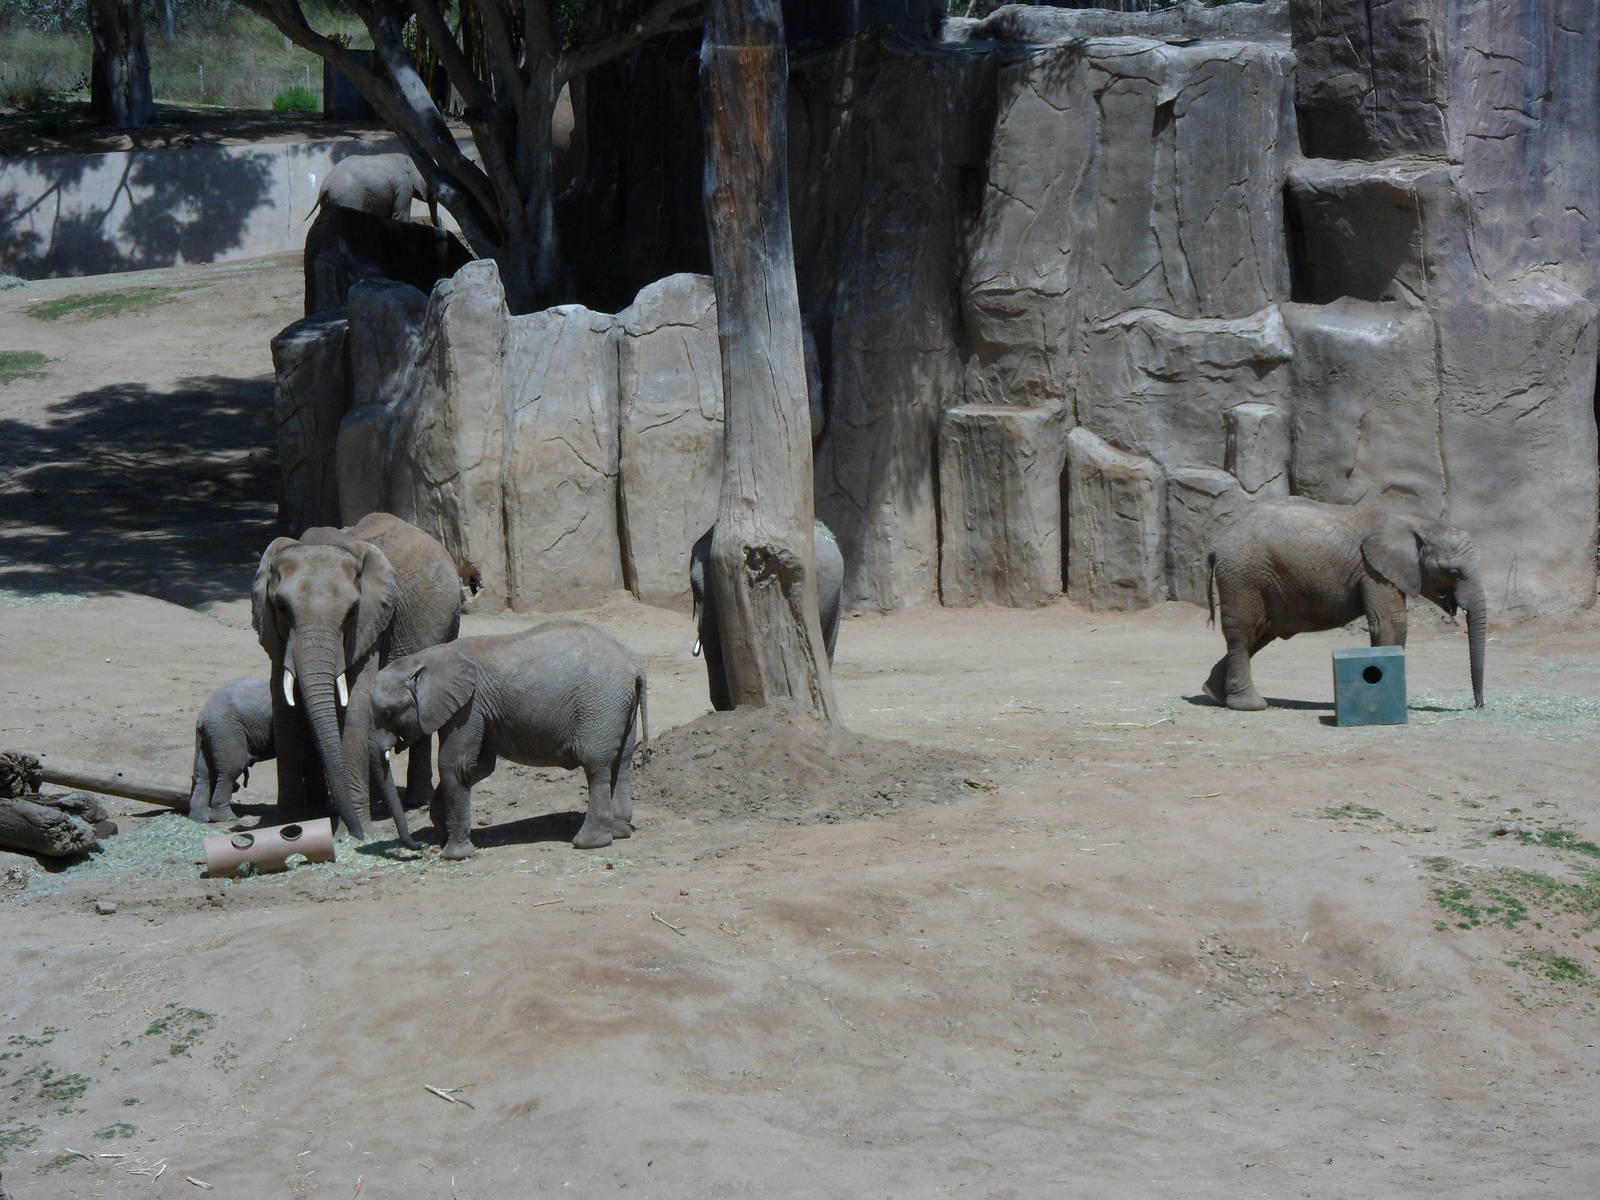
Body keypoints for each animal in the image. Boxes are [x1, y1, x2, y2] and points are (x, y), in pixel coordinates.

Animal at [187, 676, 273, 824]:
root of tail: (202, 717)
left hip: (210, 737)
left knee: (204, 773)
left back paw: (199, 819)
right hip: (226, 731)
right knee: (232, 769)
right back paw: (227, 818)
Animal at [252, 512, 463, 841]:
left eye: (352, 611)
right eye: (282, 607)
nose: (359, 834)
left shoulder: (370, 623)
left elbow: (356, 703)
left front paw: (348, 833)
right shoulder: (274, 631)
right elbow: (284, 706)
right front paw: (288, 826)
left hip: (448, 625)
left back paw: (414, 801)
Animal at [369, 621, 649, 858]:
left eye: (388, 713)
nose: (419, 848)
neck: (425, 658)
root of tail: (635, 665)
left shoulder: (469, 706)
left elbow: (455, 765)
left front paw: (454, 855)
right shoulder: (478, 710)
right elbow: (479, 767)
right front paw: (441, 834)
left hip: (600, 705)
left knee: (596, 766)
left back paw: (588, 843)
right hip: (620, 706)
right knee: (622, 761)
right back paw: (619, 832)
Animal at [1203, 498, 1486, 712]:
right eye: (1453, 572)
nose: (1477, 706)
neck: (1416, 521)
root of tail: (1215, 543)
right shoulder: (1373, 570)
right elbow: (1390, 623)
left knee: (1262, 631)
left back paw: (1214, 694)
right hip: (1244, 576)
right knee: (1244, 632)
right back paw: (1250, 705)